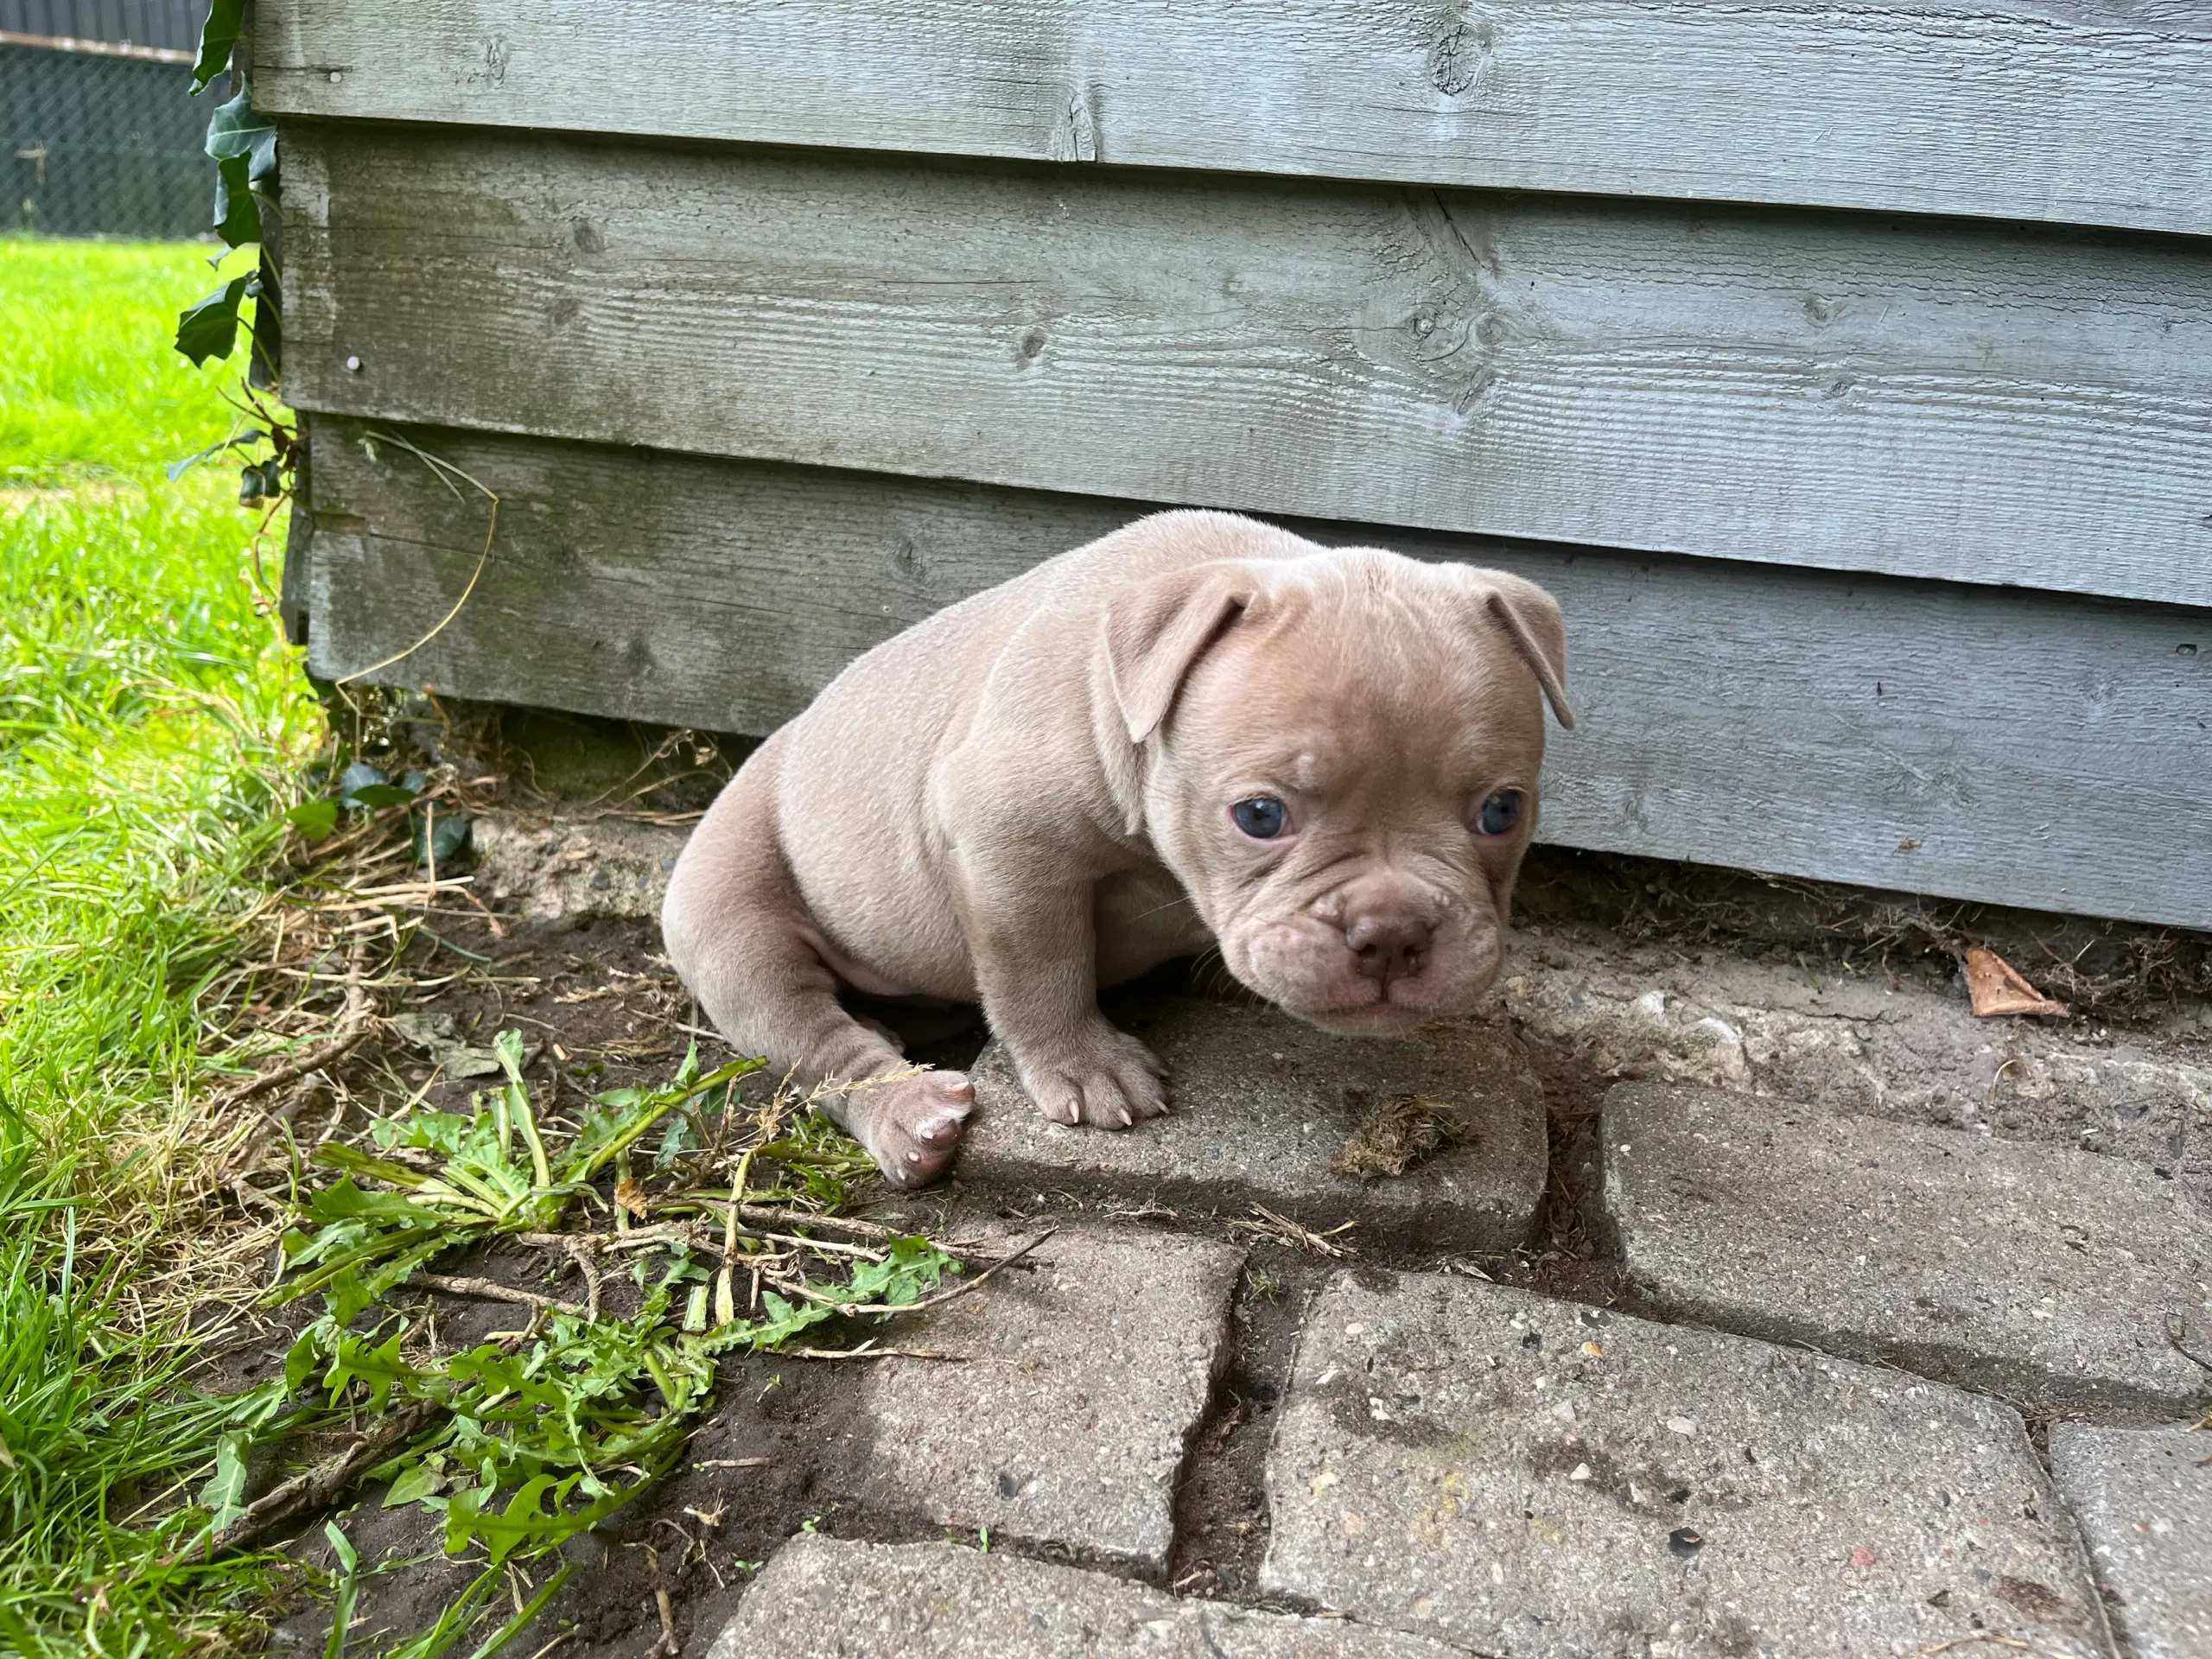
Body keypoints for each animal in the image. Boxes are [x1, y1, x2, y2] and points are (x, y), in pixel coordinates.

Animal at [658, 506, 1574, 1185]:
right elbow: (1041, 968)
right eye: (1260, 816)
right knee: (813, 1039)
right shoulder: (1008, 849)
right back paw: (909, 1116)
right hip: (728, 917)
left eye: (1502, 811)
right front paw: (1086, 1067)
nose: (1392, 933)